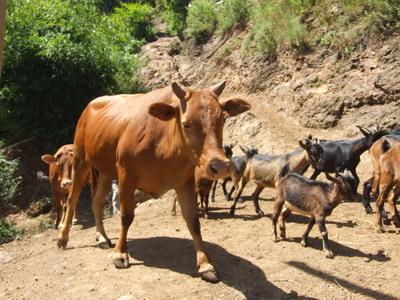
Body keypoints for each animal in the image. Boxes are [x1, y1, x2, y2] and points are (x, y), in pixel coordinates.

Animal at [57, 81, 250, 282]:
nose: (219, 166)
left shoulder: (185, 182)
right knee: (72, 199)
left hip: (104, 171)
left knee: (96, 202)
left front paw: (205, 264)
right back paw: (63, 237)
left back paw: (102, 237)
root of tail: (92, 104)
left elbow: (193, 221)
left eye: (223, 120)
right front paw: (120, 254)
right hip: (81, 160)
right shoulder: (126, 176)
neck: (164, 145)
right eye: (186, 123)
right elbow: (126, 216)